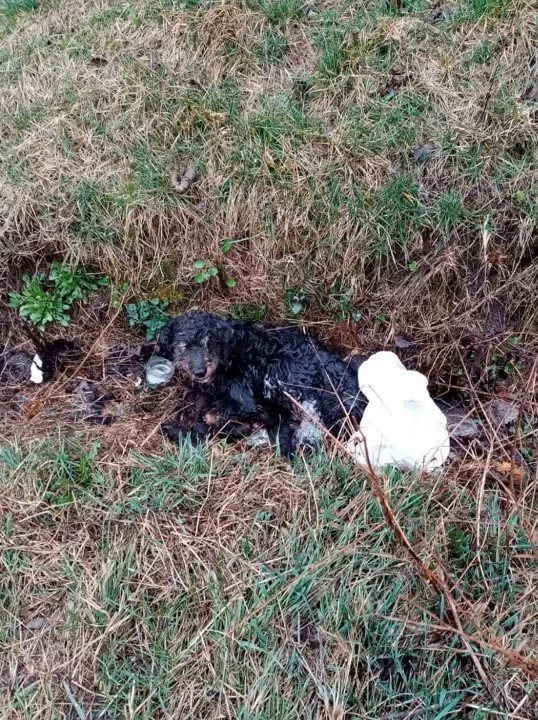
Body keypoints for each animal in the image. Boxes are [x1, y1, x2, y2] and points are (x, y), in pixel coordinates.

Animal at [157, 310, 366, 456]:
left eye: (210, 342)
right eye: (183, 346)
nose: (200, 372)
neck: (229, 355)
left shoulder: (245, 400)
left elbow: (213, 415)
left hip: (279, 374)